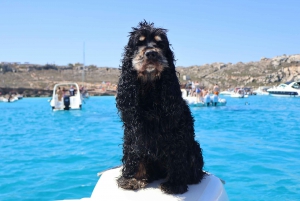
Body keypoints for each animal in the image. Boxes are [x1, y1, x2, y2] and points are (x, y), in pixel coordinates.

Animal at [116, 21, 205, 194]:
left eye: (160, 44)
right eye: (139, 43)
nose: (151, 53)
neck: (150, 89)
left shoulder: (176, 131)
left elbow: (176, 157)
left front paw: (174, 184)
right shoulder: (134, 131)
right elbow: (134, 153)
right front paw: (132, 179)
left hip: (194, 147)